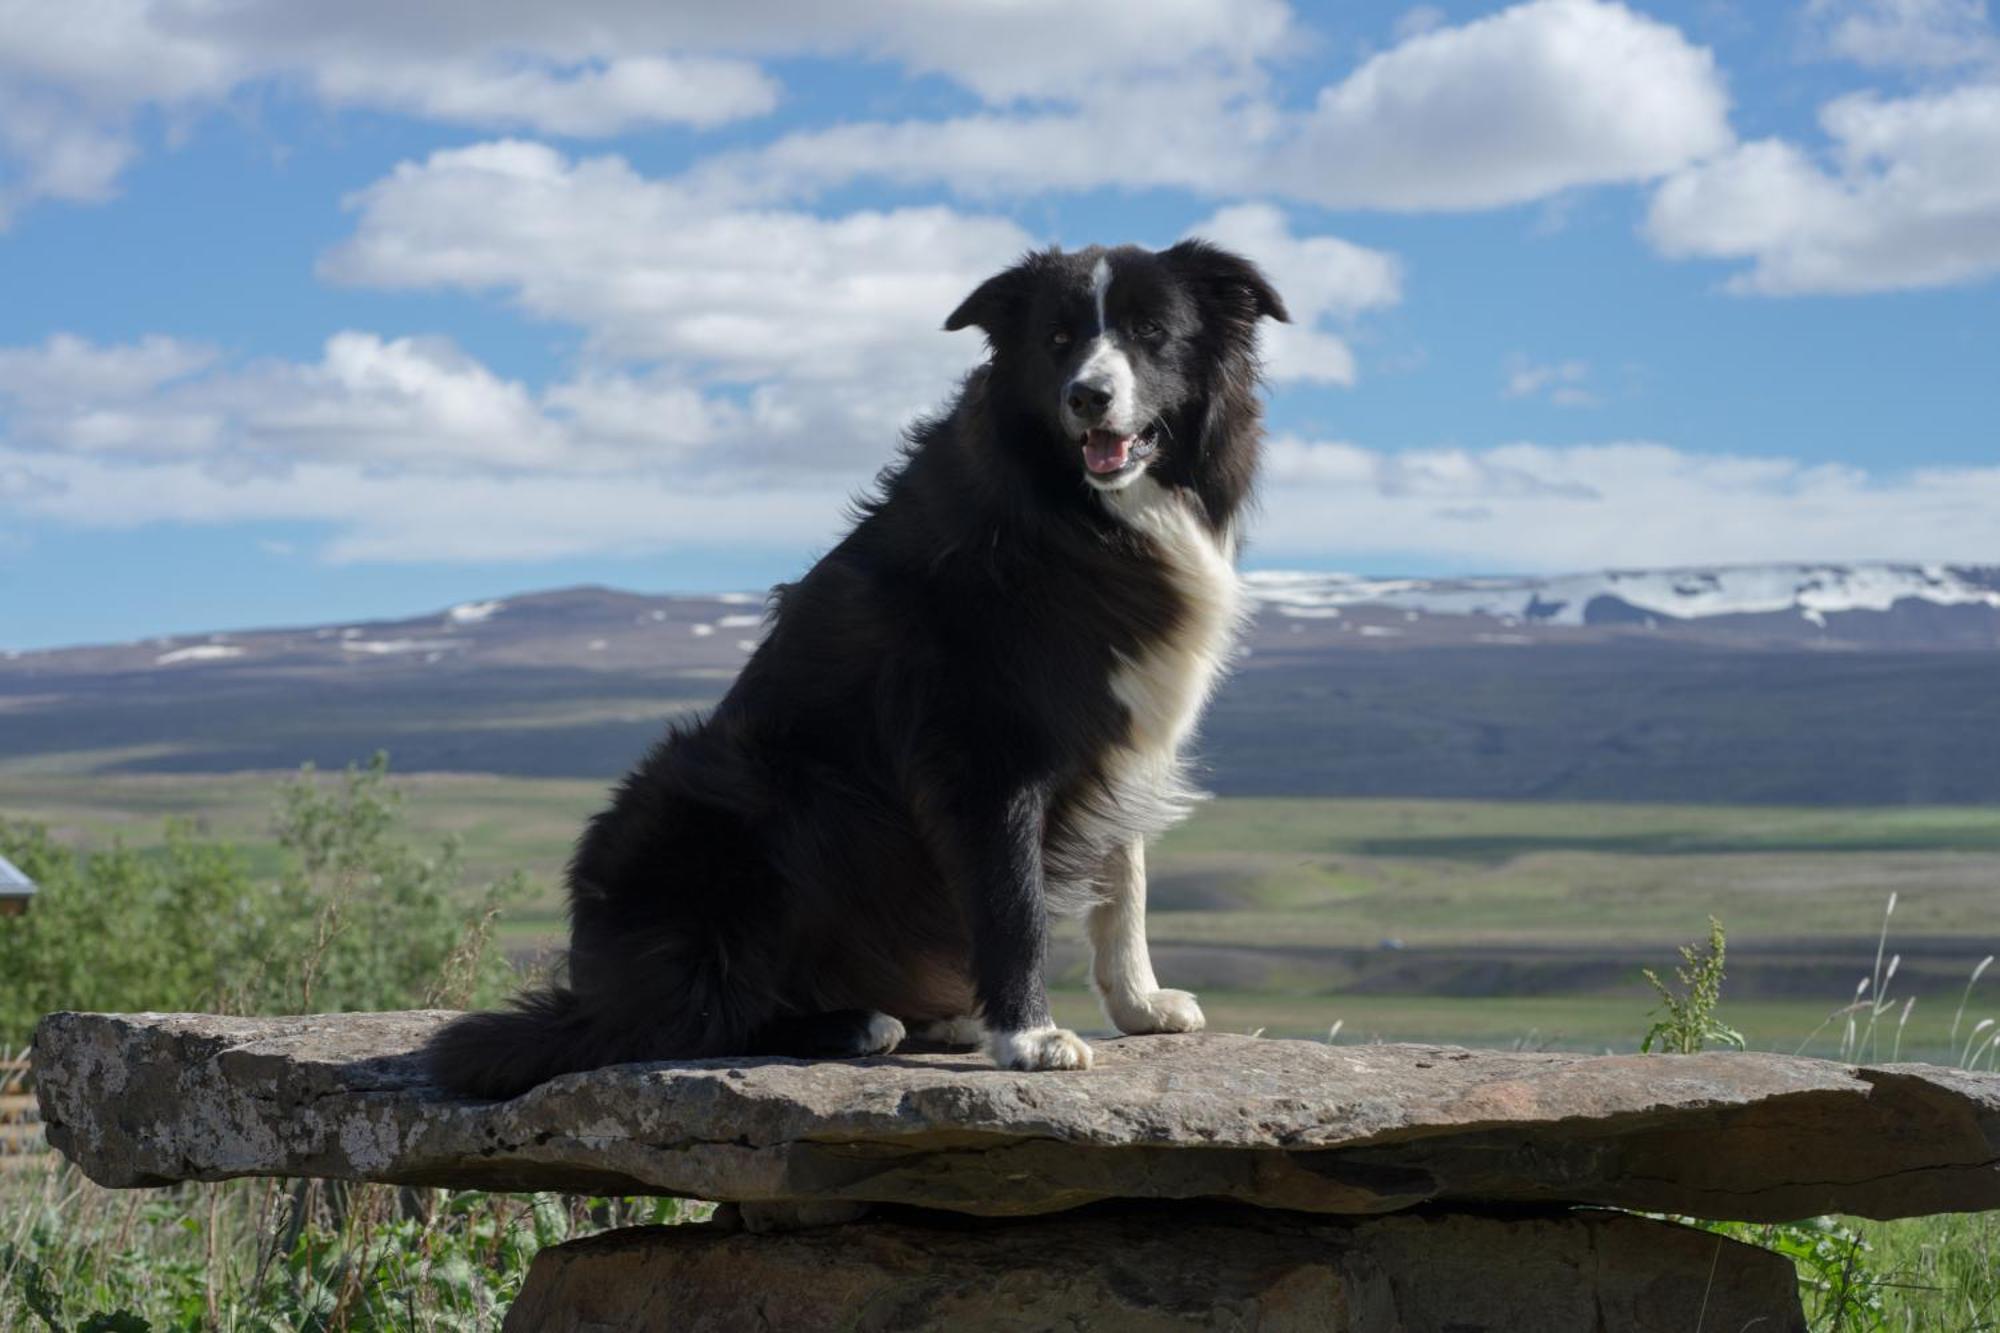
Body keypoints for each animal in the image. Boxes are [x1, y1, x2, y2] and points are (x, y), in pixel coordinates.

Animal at [428, 236, 1288, 1088]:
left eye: (1151, 334)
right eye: (1057, 339)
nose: (1088, 397)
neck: (1079, 507)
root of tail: (594, 995)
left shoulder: (1122, 726)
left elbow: (1123, 877)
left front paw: (1140, 1005)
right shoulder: (982, 747)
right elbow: (1014, 901)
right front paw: (1031, 1036)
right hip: (727, 802)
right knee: (691, 1017)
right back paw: (856, 1021)